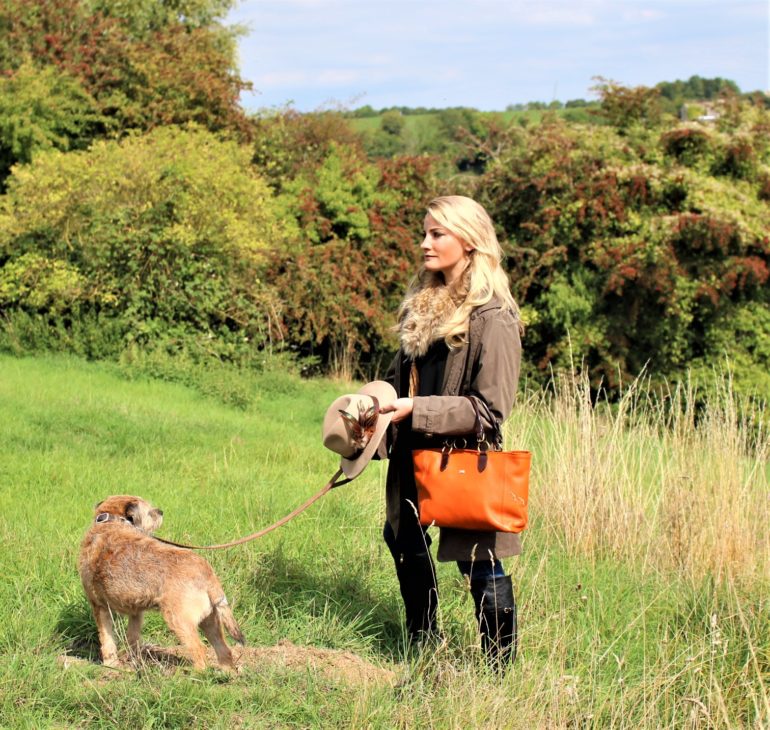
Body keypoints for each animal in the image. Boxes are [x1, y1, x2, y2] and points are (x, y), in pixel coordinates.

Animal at [76, 492, 244, 668]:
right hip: (210, 620)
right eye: (150, 512)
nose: (161, 511)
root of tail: (205, 570)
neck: (110, 522)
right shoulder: (135, 612)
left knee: (199, 651)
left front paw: (111, 665)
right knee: (223, 649)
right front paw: (133, 662)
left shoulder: (99, 606)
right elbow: (132, 638)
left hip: (179, 619)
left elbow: (107, 639)